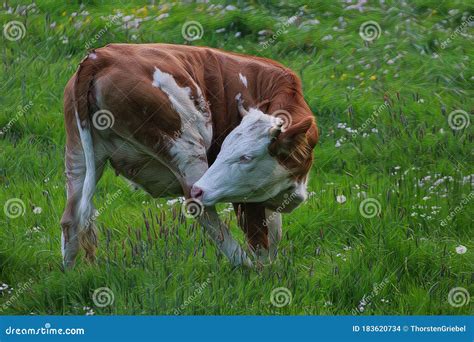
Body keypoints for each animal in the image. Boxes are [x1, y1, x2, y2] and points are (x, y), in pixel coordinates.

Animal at [61, 44, 316, 270]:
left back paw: (69, 274)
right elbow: (260, 239)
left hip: (78, 156)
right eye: (239, 155)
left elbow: (274, 234)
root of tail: (100, 57)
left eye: (245, 157)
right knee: (199, 208)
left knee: (70, 219)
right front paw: (266, 275)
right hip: (186, 148)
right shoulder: (247, 196)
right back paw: (245, 265)